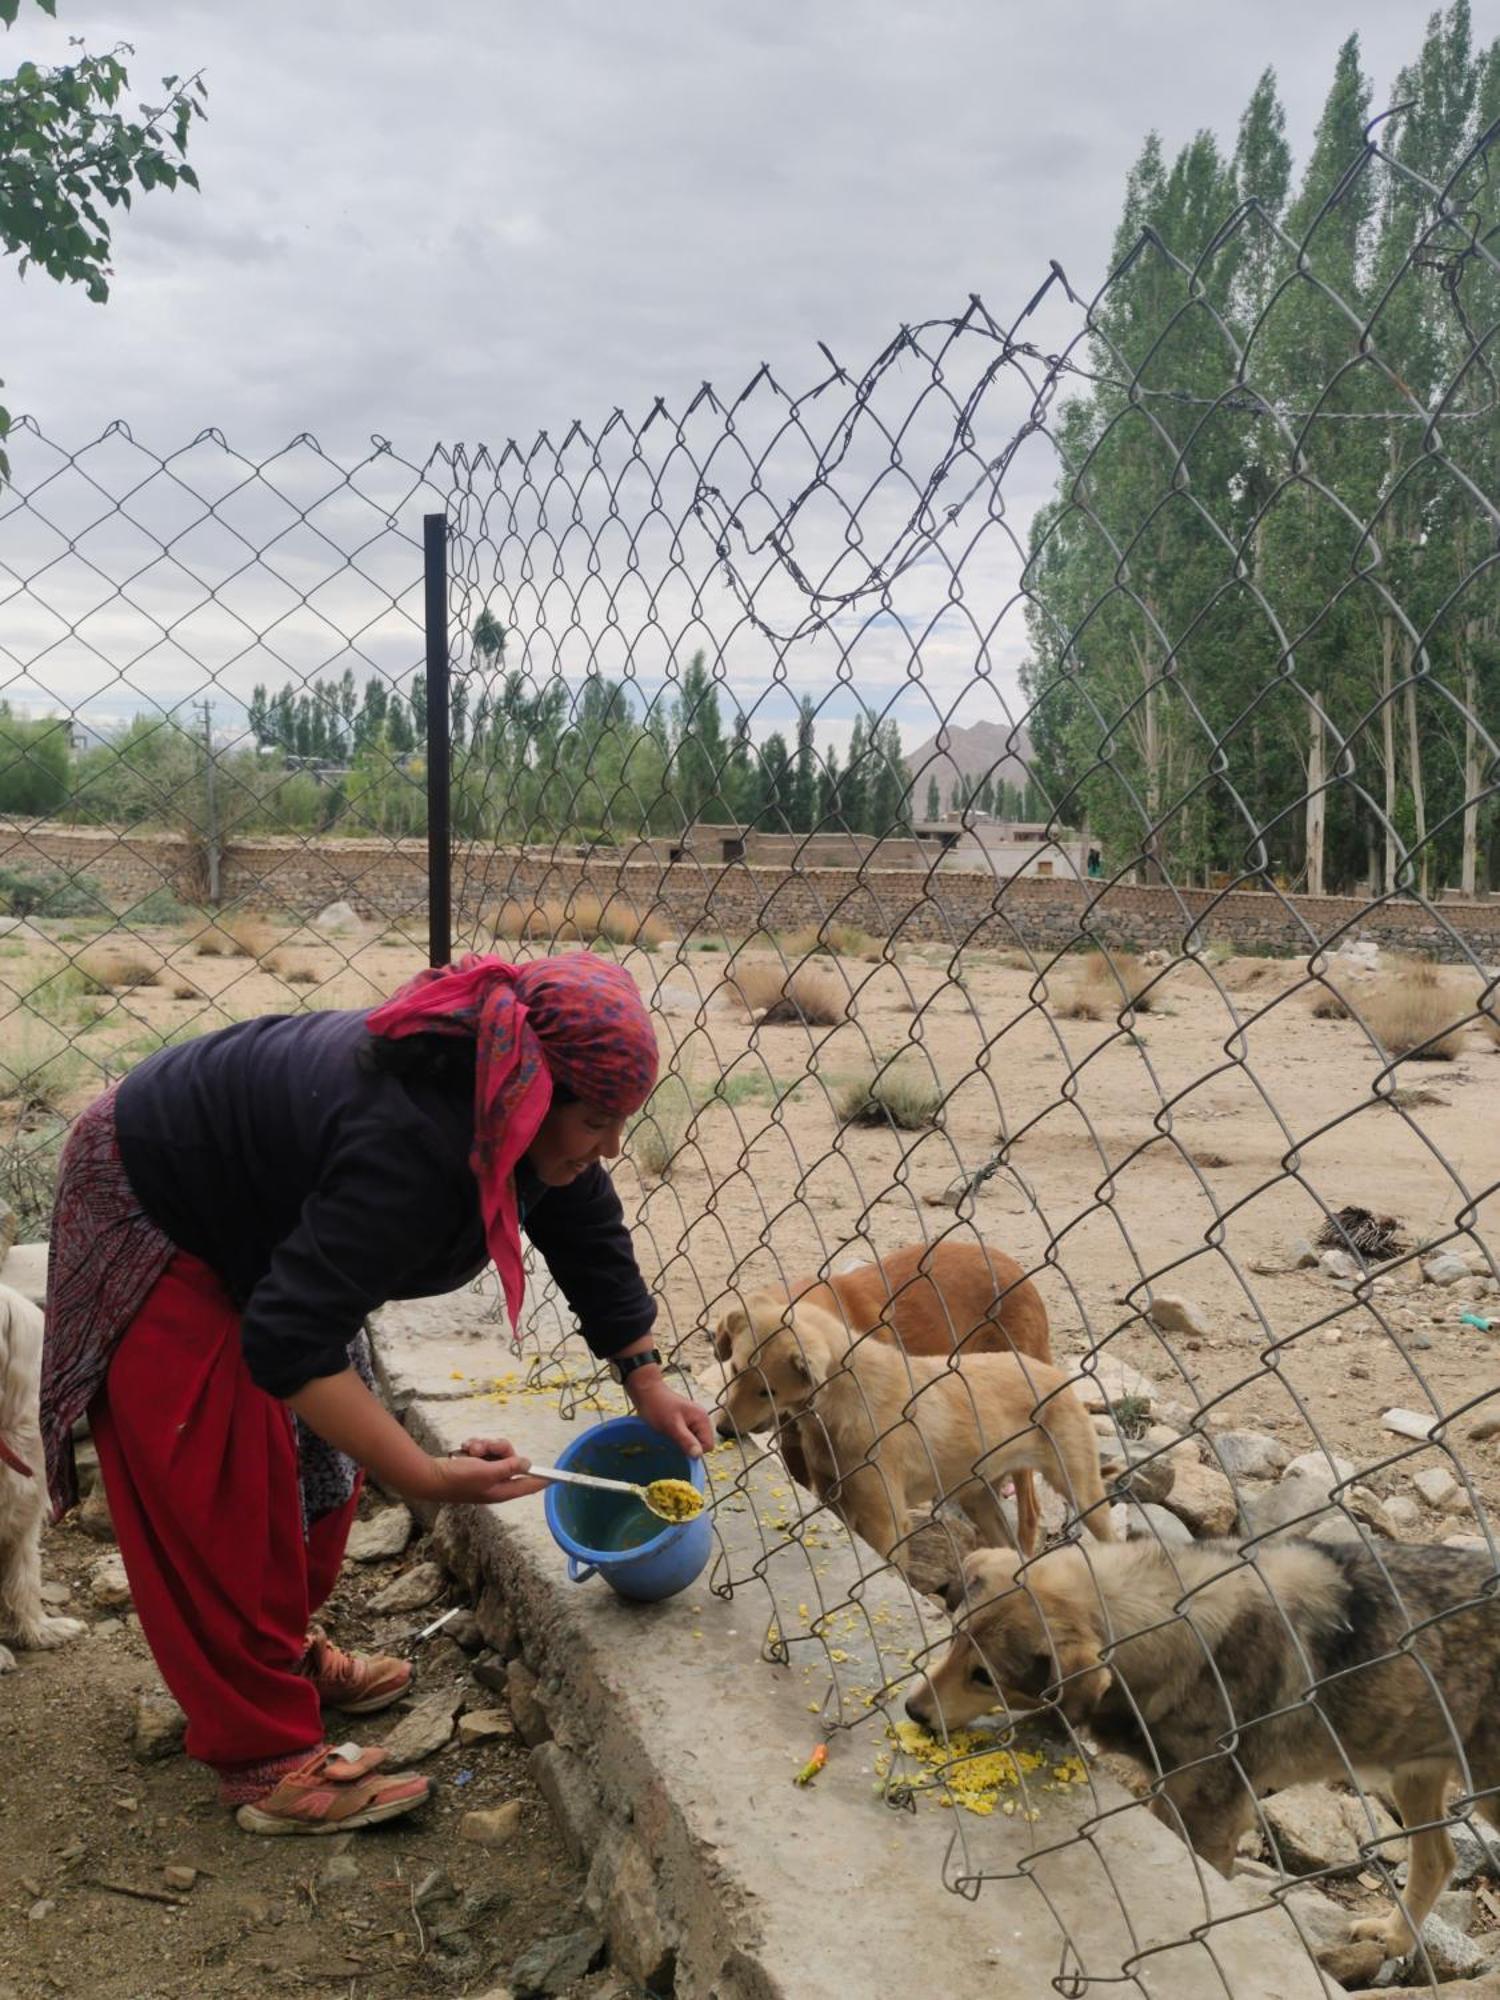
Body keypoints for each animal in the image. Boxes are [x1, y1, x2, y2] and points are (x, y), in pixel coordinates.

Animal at [716, 1240, 1056, 1552]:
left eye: (768, 1390)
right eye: (733, 1370)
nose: (724, 1430)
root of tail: (1016, 1270)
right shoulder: (799, 1453)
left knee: (1029, 1514)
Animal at [716, 1296, 1120, 1576]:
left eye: (767, 1391)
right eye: (733, 1369)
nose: (722, 1429)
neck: (843, 1398)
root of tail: (1059, 1378)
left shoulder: (886, 1523)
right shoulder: (834, 1496)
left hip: (1082, 1491)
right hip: (978, 1497)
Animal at [912, 1536, 1500, 1960]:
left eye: (984, 1676)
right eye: (954, 1638)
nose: (913, 1712)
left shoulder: (1210, 1820)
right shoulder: (1167, 1793)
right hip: (1415, 1770)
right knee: (1438, 1859)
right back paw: (1396, 1938)